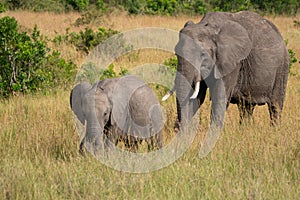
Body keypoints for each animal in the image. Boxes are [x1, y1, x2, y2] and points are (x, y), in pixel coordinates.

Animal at [163, 10, 290, 157]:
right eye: (176, 53)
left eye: (202, 54)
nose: (176, 129)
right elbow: (198, 97)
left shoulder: (230, 61)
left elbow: (219, 97)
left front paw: (212, 137)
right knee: (246, 107)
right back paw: (244, 132)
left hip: (282, 67)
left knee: (275, 105)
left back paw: (274, 131)